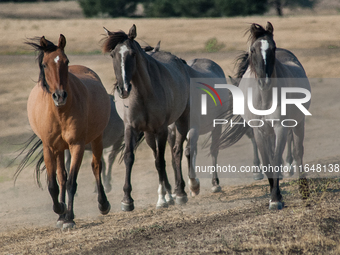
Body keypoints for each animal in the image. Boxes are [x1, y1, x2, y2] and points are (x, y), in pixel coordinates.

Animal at [102, 24, 191, 211]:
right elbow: (130, 157)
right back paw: (168, 194)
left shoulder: (162, 129)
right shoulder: (131, 128)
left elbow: (161, 162)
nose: (123, 89)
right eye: (113, 55)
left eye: (132, 54)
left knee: (176, 152)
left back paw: (179, 193)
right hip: (149, 134)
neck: (143, 93)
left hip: (181, 120)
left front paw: (164, 198)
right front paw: (127, 200)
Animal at [230, 21, 312, 209]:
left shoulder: (281, 127)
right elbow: (268, 162)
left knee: (298, 152)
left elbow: (276, 160)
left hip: (298, 123)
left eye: (272, 49)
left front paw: (276, 199)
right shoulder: (259, 131)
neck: (265, 97)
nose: (264, 81)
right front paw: (275, 196)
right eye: (253, 50)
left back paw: (304, 193)